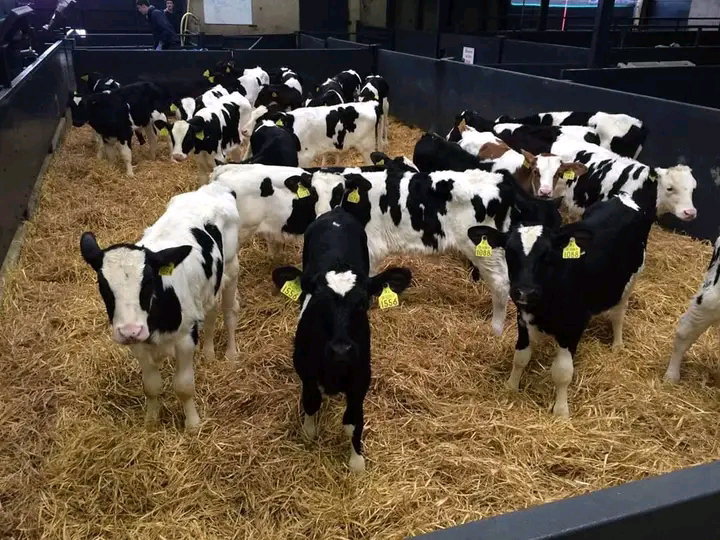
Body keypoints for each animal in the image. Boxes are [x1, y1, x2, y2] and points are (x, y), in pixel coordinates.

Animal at [79, 182, 241, 432]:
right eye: (103, 286)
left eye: (148, 282)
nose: (129, 330)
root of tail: (212, 187)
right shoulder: (138, 344)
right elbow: (151, 386)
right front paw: (151, 421)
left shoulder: (185, 338)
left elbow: (184, 386)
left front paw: (193, 424)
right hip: (210, 285)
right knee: (212, 312)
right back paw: (209, 353)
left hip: (231, 267)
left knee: (229, 311)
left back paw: (231, 354)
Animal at [271, 206, 412, 471]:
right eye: (318, 302)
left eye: (363, 303)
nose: (341, 349)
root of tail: (336, 212)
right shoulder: (305, 371)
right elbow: (311, 402)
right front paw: (309, 432)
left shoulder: (361, 379)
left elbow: (353, 421)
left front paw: (357, 462)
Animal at [467, 191, 655, 416]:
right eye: (509, 252)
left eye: (547, 254)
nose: (525, 291)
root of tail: (622, 197)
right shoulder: (523, 318)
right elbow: (520, 357)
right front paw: (511, 387)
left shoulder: (572, 327)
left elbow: (563, 372)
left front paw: (561, 411)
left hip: (631, 279)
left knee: (619, 313)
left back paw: (617, 344)